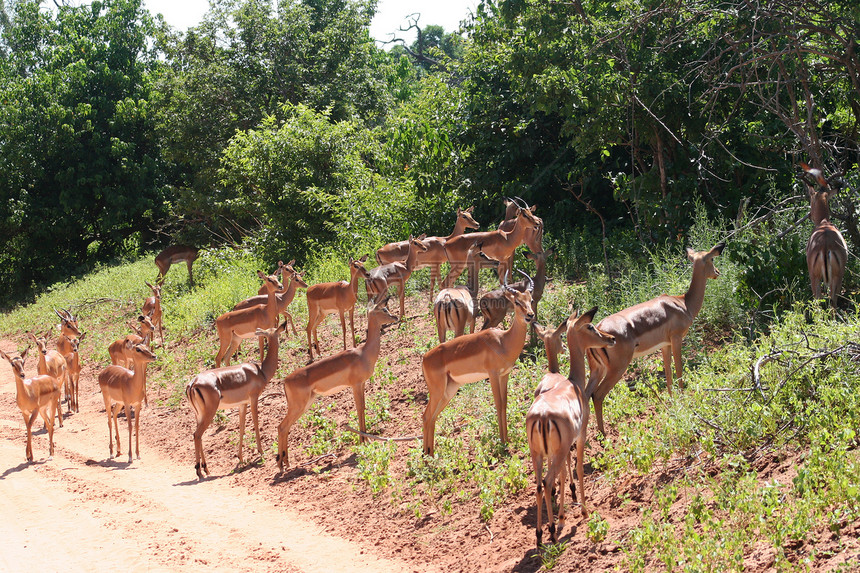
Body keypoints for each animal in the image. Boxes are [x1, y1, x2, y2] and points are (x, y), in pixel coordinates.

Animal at [186, 322, 288, 478]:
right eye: (276, 332)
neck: (260, 371)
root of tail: (193, 383)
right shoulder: (254, 399)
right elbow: (256, 423)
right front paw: (261, 451)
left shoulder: (242, 404)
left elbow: (242, 427)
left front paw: (240, 458)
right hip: (209, 412)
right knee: (197, 434)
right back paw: (199, 471)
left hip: (199, 414)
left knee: (198, 435)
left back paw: (206, 469)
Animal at [276, 294, 400, 470]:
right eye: (383, 309)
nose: (395, 317)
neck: (363, 354)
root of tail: (285, 380)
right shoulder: (356, 385)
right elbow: (359, 408)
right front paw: (364, 441)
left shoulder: (361, 384)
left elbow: (362, 408)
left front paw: (366, 439)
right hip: (299, 406)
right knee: (281, 426)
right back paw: (282, 465)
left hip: (306, 403)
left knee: (284, 428)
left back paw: (285, 463)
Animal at [422, 272, 536, 456]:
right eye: (517, 302)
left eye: (530, 300)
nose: (530, 315)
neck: (503, 341)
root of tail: (425, 358)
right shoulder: (493, 375)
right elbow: (498, 404)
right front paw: (502, 443)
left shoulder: (504, 375)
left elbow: (504, 404)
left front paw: (507, 440)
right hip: (438, 390)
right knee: (426, 416)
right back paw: (428, 457)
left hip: (448, 390)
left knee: (431, 417)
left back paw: (429, 455)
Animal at [584, 240, 724, 434]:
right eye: (711, 258)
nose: (717, 272)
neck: (684, 303)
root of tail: (598, 329)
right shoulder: (677, 339)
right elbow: (679, 370)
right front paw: (684, 400)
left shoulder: (664, 345)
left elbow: (668, 373)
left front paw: (673, 402)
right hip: (617, 369)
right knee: (597, 395)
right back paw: (605, 434)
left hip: (597, 369)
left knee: (585, 395)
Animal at [804, 163, 848, 308]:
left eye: (811, 198)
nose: (810, 215)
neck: (824, 222)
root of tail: (825, 246)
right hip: (837, 276)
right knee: (833, 302)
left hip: (816, 277)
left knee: (819, 302)